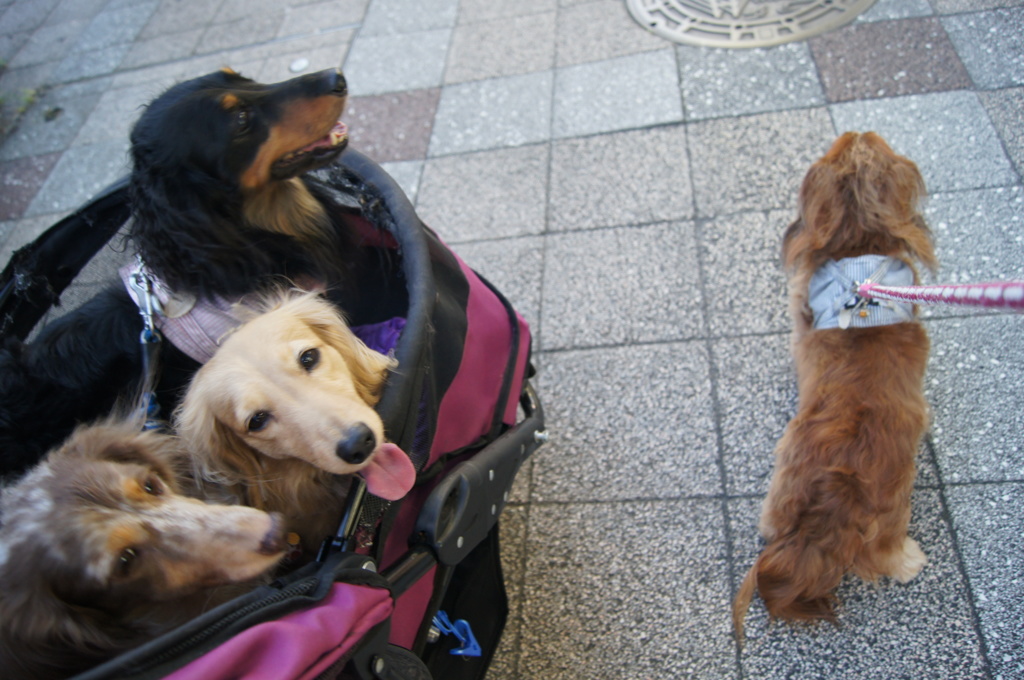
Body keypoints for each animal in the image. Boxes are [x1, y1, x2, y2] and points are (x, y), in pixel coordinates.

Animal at [733, 131, 937, 639]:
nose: (857, 131)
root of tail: (839, 485)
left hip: (784, 484)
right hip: (892, 508)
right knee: (885, 551)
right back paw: (908, 561)